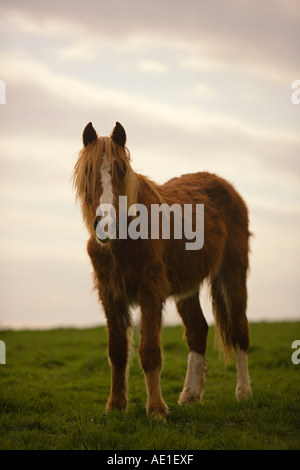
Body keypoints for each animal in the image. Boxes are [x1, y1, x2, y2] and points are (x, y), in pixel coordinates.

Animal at [72, 121, 251, 418]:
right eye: (88, 172)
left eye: (122, 170)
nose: (106, 225)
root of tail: (226, 186)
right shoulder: (110, 296)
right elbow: (117, 351)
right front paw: (115, 406)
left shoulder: (150, 292)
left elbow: (149, 352)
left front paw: (156, 410)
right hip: (187, 288)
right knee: (197, 331)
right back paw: (190, 395)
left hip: (233, 275)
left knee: (238, 331)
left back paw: (243, 393)